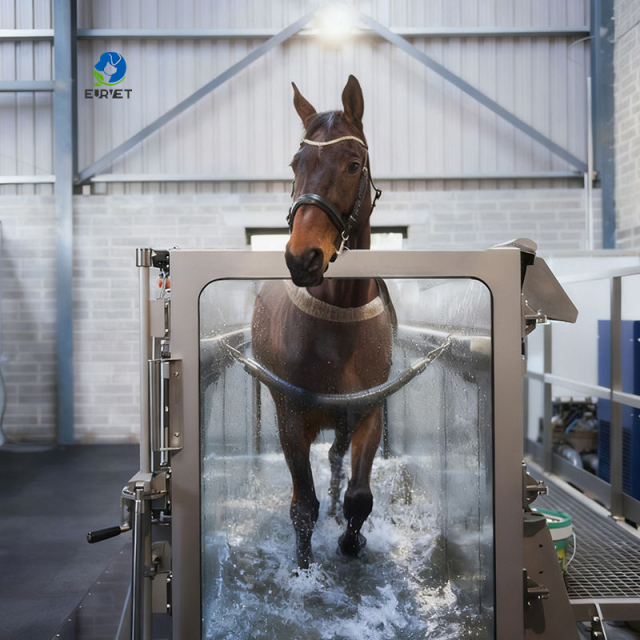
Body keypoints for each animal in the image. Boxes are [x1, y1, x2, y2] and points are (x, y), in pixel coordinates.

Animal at [251, 75, 395, 569]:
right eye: (296, 164)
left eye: (353, 164)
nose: (303, 257)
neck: (340, 327)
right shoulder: (291, 420)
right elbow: (302, 506)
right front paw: (303, 568)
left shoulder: (368, 412)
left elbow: (359, 496)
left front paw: (351, 541)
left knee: (335, 460)